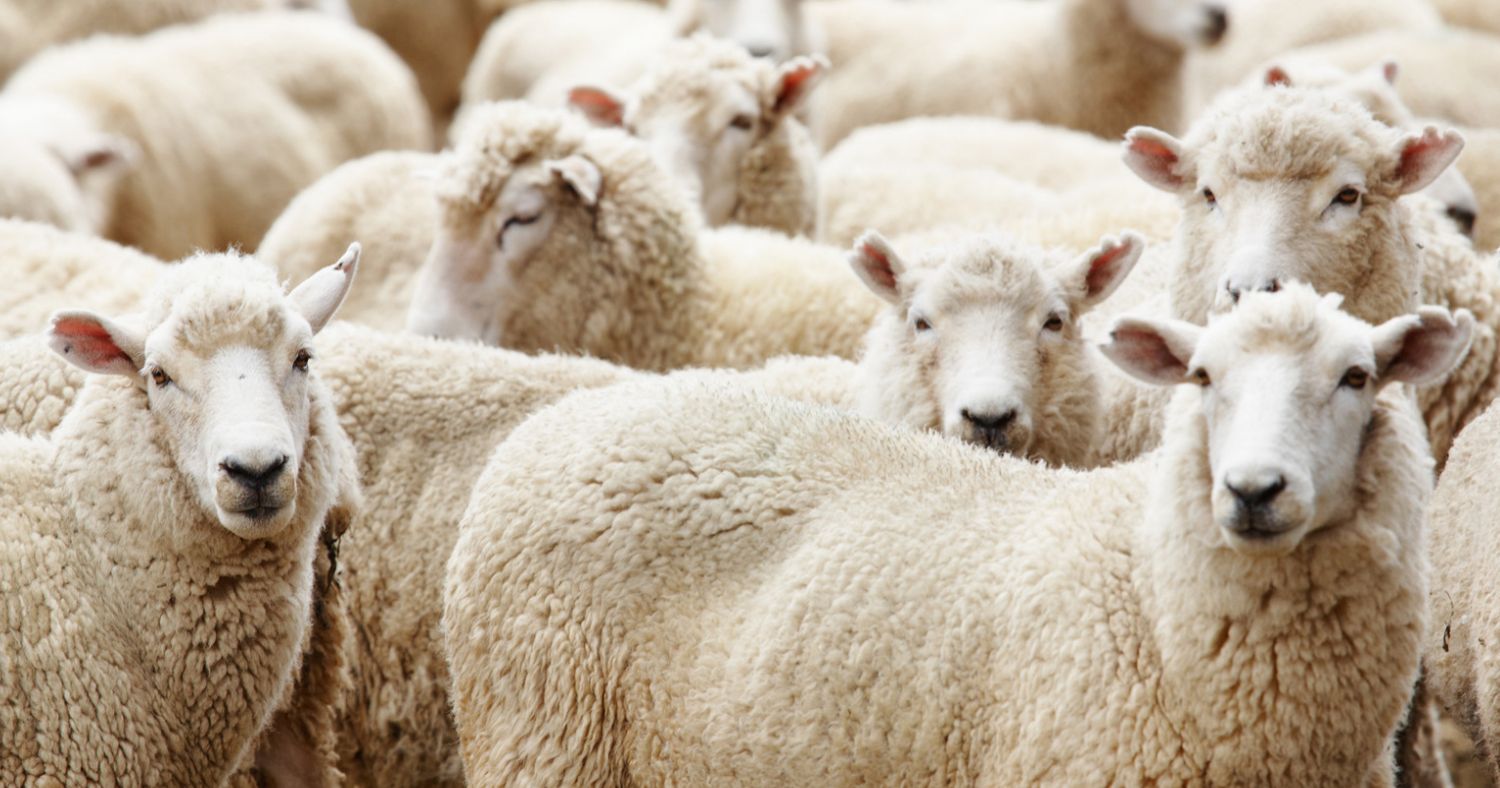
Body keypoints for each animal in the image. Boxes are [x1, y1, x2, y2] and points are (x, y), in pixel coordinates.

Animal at [443, 283, 1470, 786]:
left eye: (1356, 377)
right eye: (1203, 376)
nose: (1253, 490)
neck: (1146, 597)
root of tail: (561, 421)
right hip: (543, 739)